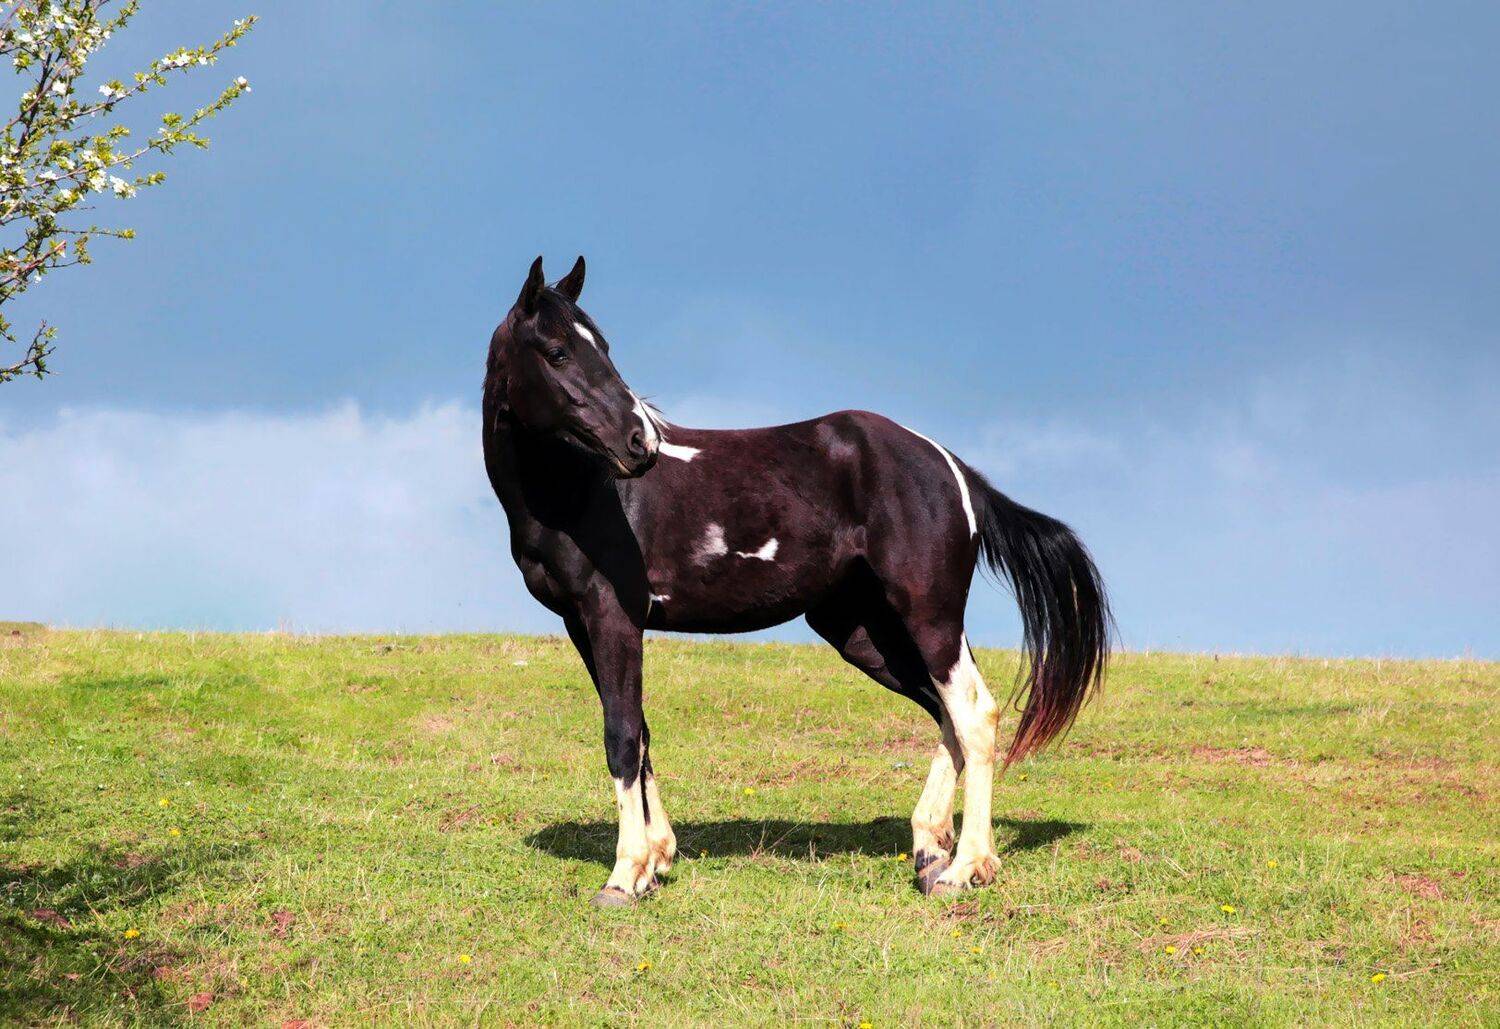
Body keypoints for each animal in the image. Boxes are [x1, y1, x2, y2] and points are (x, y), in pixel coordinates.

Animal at [482, 256, 1110, 906]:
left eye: (601, 348)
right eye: (558, 352)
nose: (642, 443)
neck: (585, 490)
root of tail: (951, 468)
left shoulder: (614, 617)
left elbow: (623, 734)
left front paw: (625, 874)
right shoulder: (581, 624)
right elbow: (640, 730)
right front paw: (657, 859)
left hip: (929, 617)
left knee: (973, 715)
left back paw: (966, 868)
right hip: (865, 632)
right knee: (945, 715)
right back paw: (929, 849)